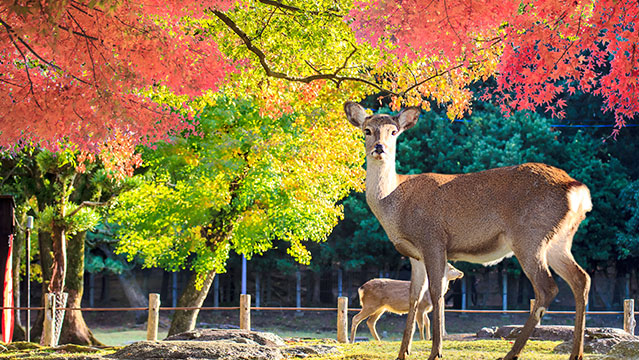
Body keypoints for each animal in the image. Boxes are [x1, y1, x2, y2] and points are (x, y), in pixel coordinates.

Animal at [344, 102, 596, 360]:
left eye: (394, 132)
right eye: (367, 130)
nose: (379, 148)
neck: (394, 204)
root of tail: (578, 191)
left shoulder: (433, 239)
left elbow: (436, 292)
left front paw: (435, 352)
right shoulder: (414, 254)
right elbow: (414, 296)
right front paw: (403, 352)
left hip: (529, 235)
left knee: (547, 287)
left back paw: (511, 353)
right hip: (559, 240)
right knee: (581, 279)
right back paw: (576, 353)